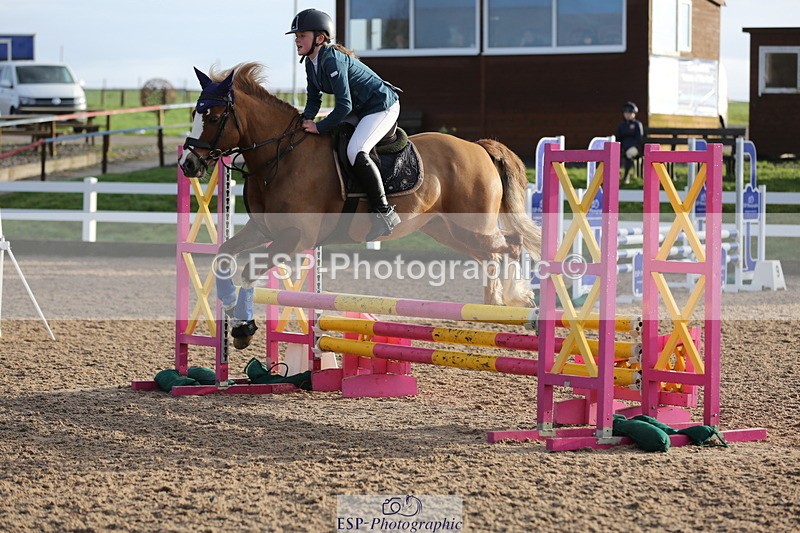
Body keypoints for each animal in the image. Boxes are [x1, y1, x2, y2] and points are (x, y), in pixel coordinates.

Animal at [179, 63, 541, 349]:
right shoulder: (264, 230)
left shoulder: (295, 238)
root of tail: (479, 147)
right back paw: (497, 303)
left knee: (512, 244)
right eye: (194, 113)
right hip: (447, 230)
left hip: (472, 226)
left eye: (213, 116)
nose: (187, 164)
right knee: (492, 255)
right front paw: (230, 310)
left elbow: (248, 271)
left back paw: (520, 300)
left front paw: (243, 328)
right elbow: (224, 254)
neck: (281, 155)